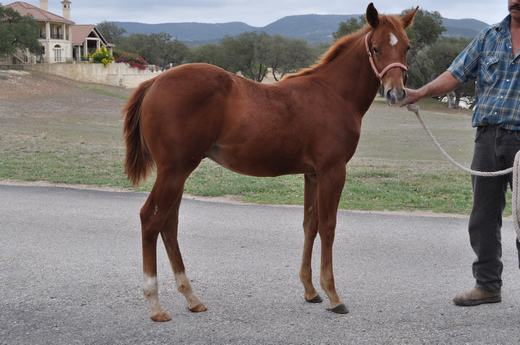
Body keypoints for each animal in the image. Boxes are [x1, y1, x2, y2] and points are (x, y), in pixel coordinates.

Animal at [124, 2, 416, 322]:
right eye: (376, 48)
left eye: (406, 47)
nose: (396, 92)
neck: (333, 94)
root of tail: (155, 81)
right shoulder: (332, 171)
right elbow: (328, 227)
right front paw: (333, 295)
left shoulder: (312, 174)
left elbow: (310, 224)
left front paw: (310, 291)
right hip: (174, 171)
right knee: (150, 220)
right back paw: (155, 304)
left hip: (179, 171)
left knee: (169, 224)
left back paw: (191, 297)